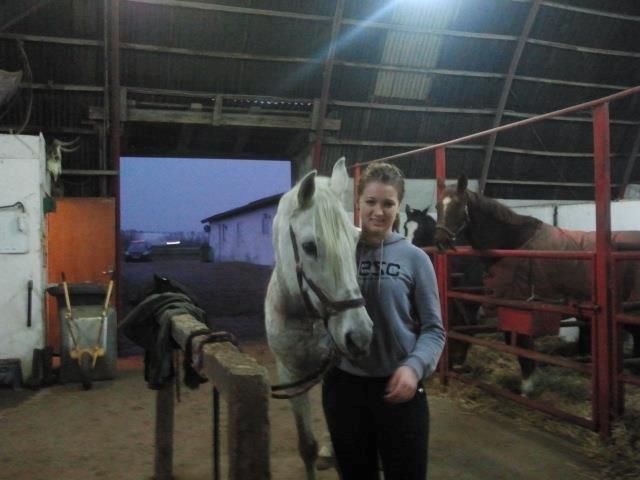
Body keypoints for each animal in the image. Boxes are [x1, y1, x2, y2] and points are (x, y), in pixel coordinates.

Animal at [265, 157, 373, 479]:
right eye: (310, 246)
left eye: (356, 240)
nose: (360, 336)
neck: (306, 318)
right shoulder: (290, 375)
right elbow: (307, 446)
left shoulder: (337, 373)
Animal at [433, 175, 640, 394]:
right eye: (437, 206)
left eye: (458, 205)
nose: (439, 240)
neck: (513, 244)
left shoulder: (521, 306)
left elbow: (523, 346)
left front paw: (527, 387)